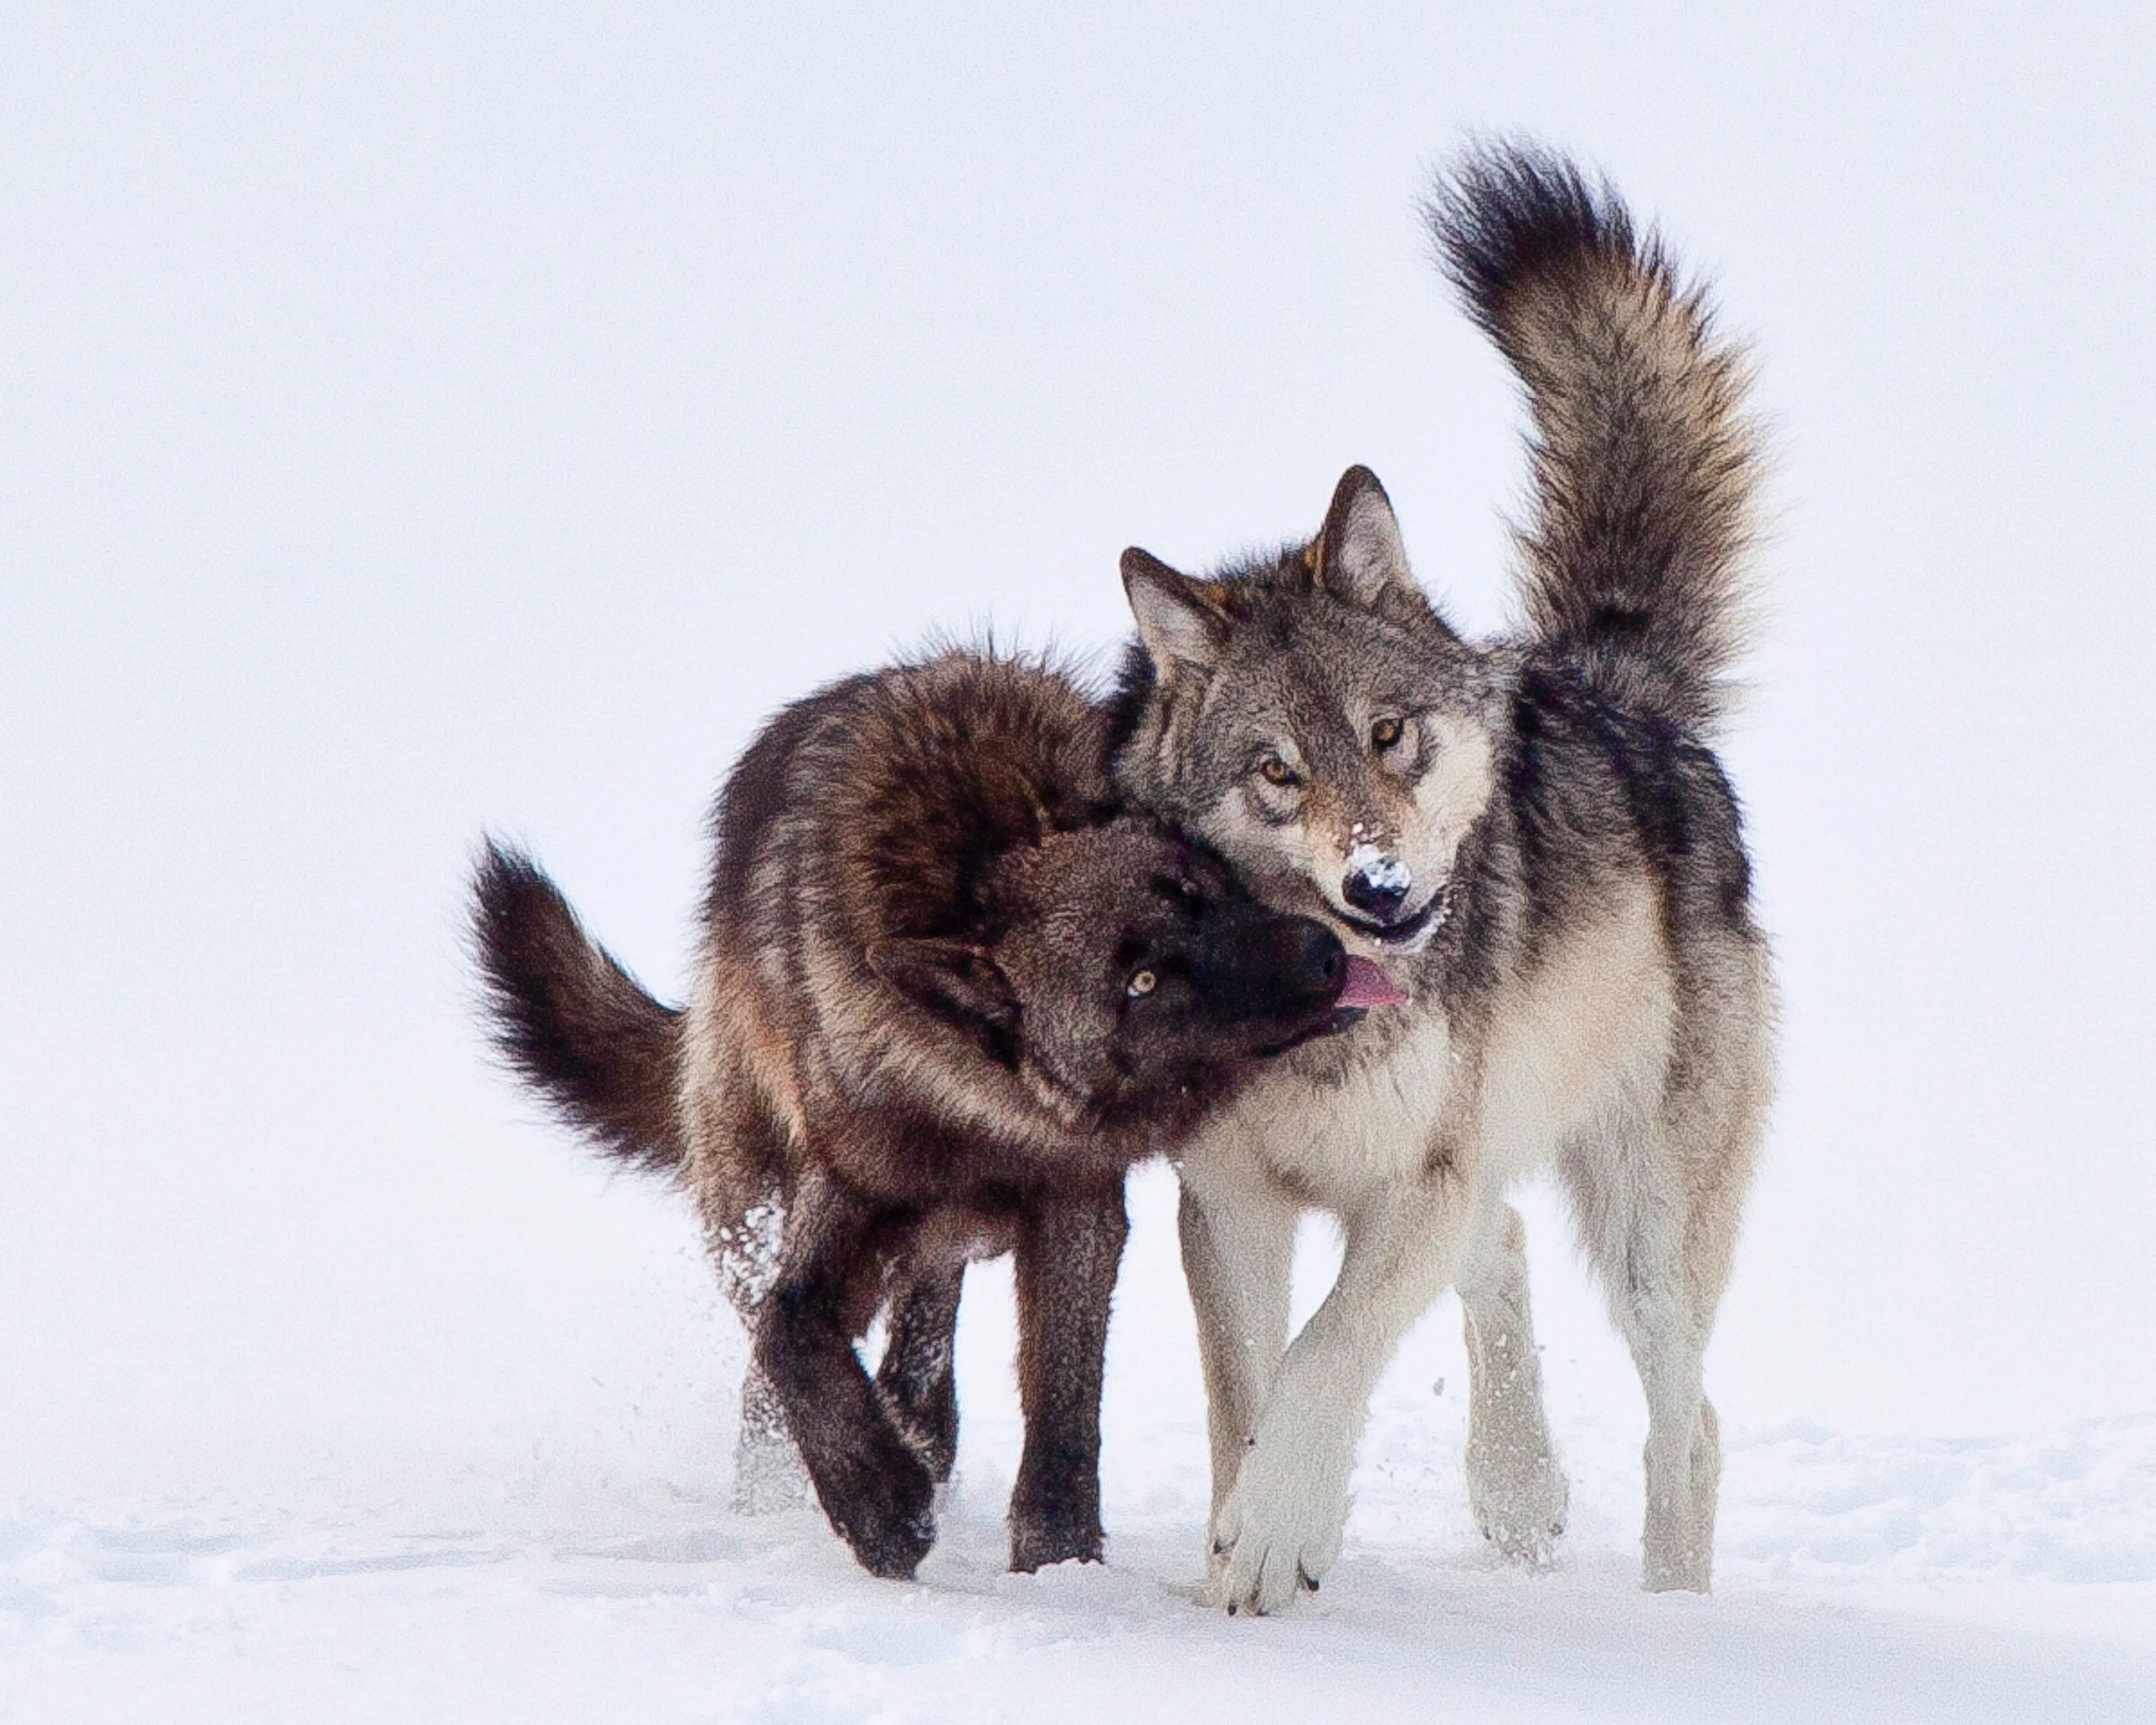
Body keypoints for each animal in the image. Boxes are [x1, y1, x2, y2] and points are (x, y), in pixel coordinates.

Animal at [471, 649, 1384, 1581]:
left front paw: (1059, 1559)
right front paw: (878, 1505)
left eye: (1199, 889)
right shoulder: (844, 1193)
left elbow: (1064, 1400)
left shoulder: (1077, 1206)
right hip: (751, 1214)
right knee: (769, 1355)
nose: (1322, 956)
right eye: (1140, 983)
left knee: (923, 1328)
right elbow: (789, 1332)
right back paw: (784, 1499)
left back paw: (920, 1434)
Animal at [1107, 143, 1775, 1611]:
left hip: (1645, 1230)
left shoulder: (1415, 1184)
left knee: (1692, 1422)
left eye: (1387, 735)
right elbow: (1246, 1388)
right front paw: (1242, 1551)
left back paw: (1675, 1616)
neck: (1311, 1016)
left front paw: (1274, 1532)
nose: (1379, 888)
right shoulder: (1226, 1198)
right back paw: (1518, 1499)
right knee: (1511, 1254)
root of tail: (1608, 681)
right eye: (1277, 771)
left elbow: (1326, 1355)